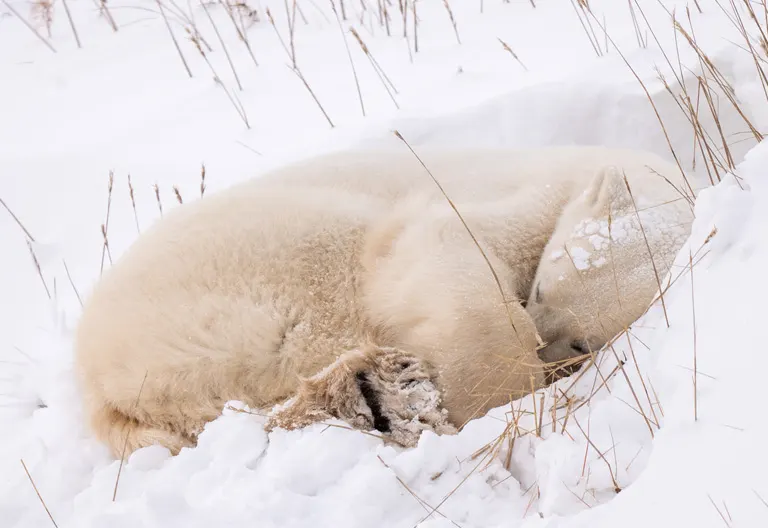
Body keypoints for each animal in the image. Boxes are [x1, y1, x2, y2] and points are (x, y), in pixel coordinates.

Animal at [73, 145, 694, 457]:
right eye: (542, 288)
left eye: (581, 341)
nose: (546, 346)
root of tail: (97, 378)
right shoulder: (521, 197)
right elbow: (442, 249)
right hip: (254, 269)